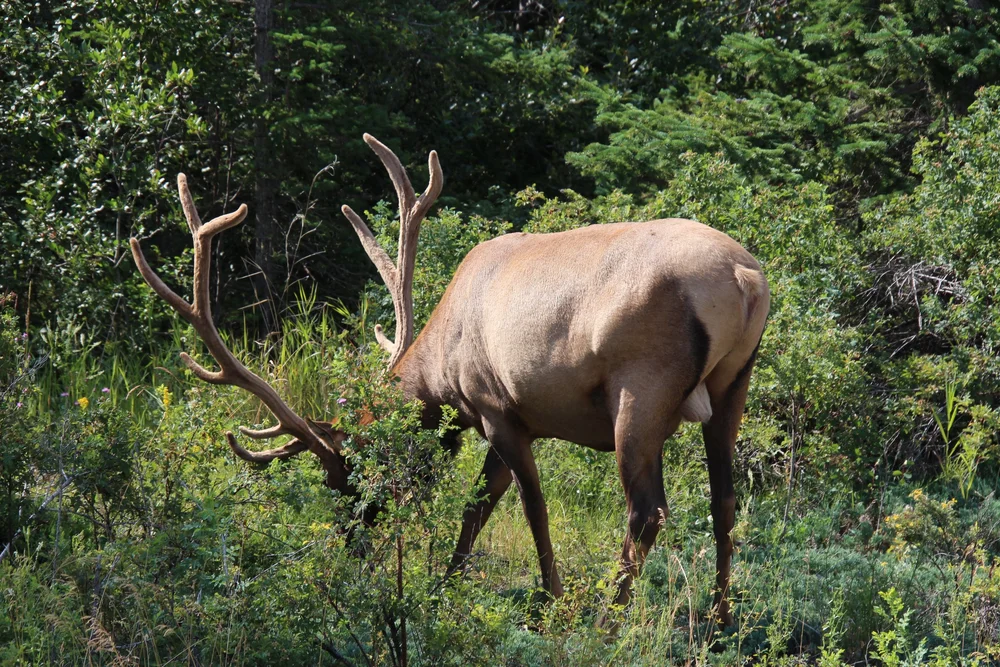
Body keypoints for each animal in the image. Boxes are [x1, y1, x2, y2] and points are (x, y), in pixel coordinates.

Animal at [130, 134, 769, 627]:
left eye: (347, 474)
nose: (352, 543)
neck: (439, 374)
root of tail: (745, 278)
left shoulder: (495, 406)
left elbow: (529, 508)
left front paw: (552, 601)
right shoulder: (518, 419)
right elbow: (479, 506)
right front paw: (446, 585)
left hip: (641, 388)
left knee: (647, 510)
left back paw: (609, 618)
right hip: (733, 385)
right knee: (725, 497)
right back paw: (721, 618)